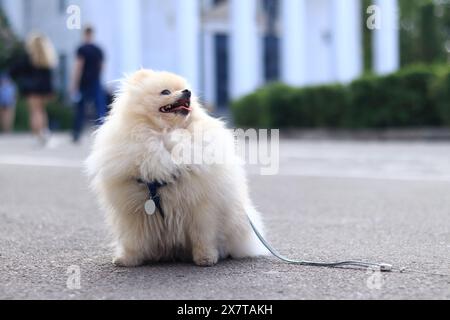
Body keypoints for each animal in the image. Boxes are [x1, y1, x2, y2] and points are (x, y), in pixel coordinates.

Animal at [86, 70, 266, 268]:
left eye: (185, 89)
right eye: (165, 91)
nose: (187, 92)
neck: (166, 134)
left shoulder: (201, 207)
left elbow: (203, 236)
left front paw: (206, 257)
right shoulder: (132, 210)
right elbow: (133, 239)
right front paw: (128, 259)